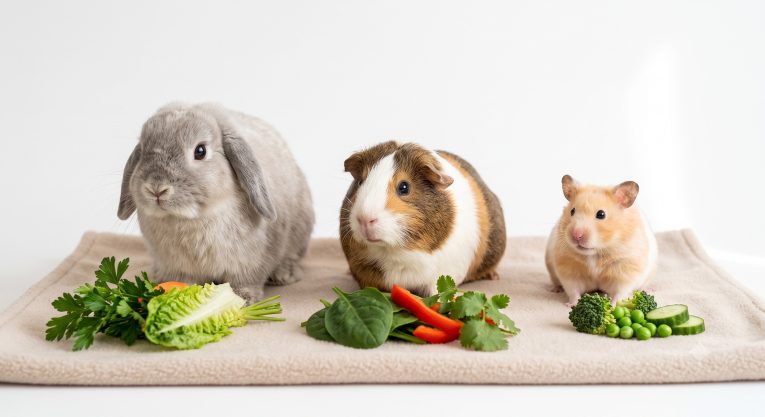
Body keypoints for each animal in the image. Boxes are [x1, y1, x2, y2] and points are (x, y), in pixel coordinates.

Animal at [117, 102, 314, 303]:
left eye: (200, 151)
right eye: (142, 150)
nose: (156, 189)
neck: (191, 219)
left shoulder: (249, 263)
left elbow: (245, 281)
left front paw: (242, 298)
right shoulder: (176, 266)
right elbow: (183, 281)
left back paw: (284, 275)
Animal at [545, 175, 658, 306]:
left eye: (601, 214)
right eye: (572, 211)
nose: (576, 235)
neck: (595, 254)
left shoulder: (626, 270)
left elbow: (620, 292)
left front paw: (613, 306)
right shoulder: (568, 270)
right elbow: (573, 290)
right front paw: (571, 305)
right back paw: (555, 289)